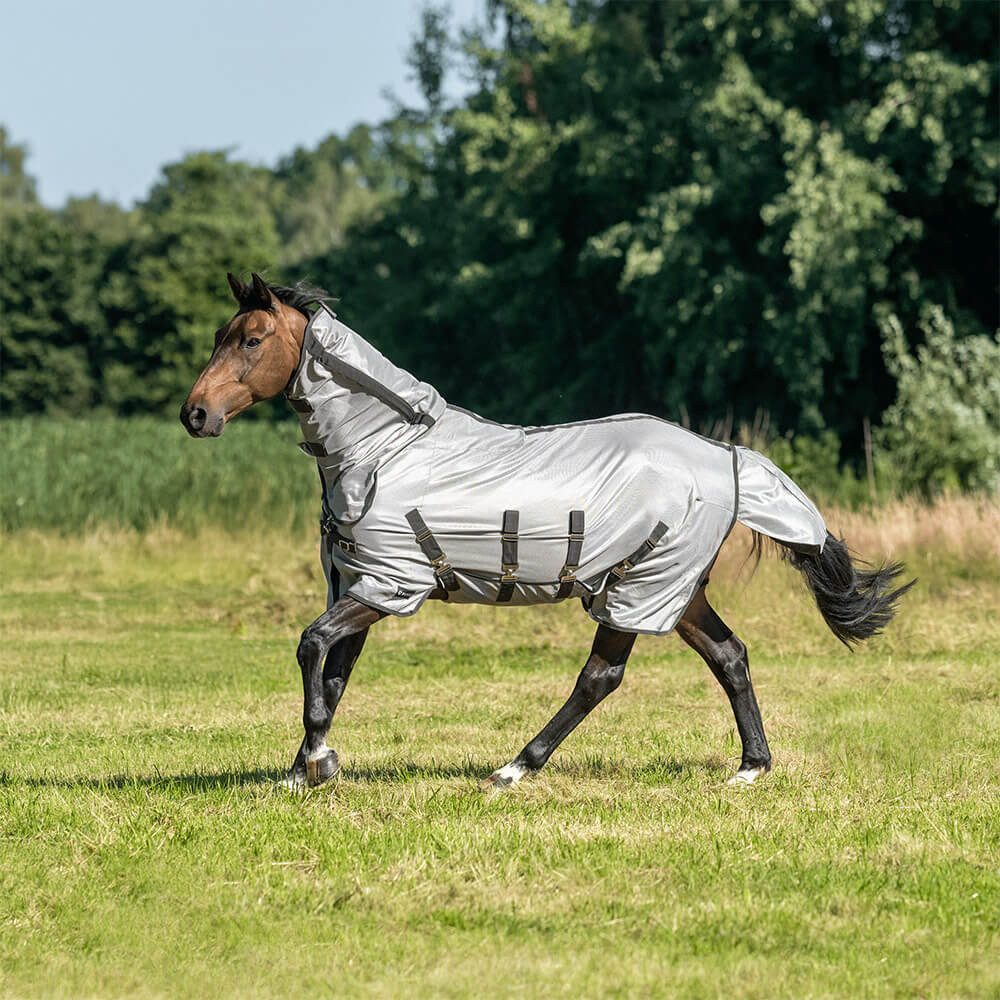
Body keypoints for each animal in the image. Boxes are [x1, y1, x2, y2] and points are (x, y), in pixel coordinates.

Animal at [180, 272, 912, 791]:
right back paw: (751, 767)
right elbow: (331, 677)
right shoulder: (360, 587)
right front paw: (302, 769)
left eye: (251, 340)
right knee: (729, 657)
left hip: (634, 588)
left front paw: (318, 763)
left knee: (601, 677)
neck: (384, 450)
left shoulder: (390, 586)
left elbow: (311, 647)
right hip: (674, 591)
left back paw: (513, 769)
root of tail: (724, 457)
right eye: (221, 333)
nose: (196, 415)